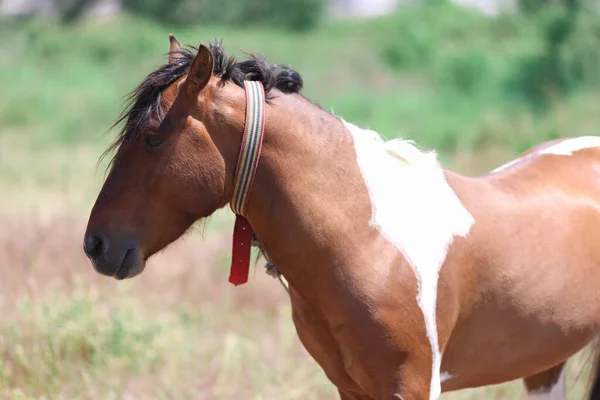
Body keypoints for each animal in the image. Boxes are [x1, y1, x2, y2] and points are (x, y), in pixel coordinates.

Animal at [84, 36, 600, 398]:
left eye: (152, 138)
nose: (96, 245)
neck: (365, 240)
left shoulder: (411, 387)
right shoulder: (350, 388)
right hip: (544, 363)